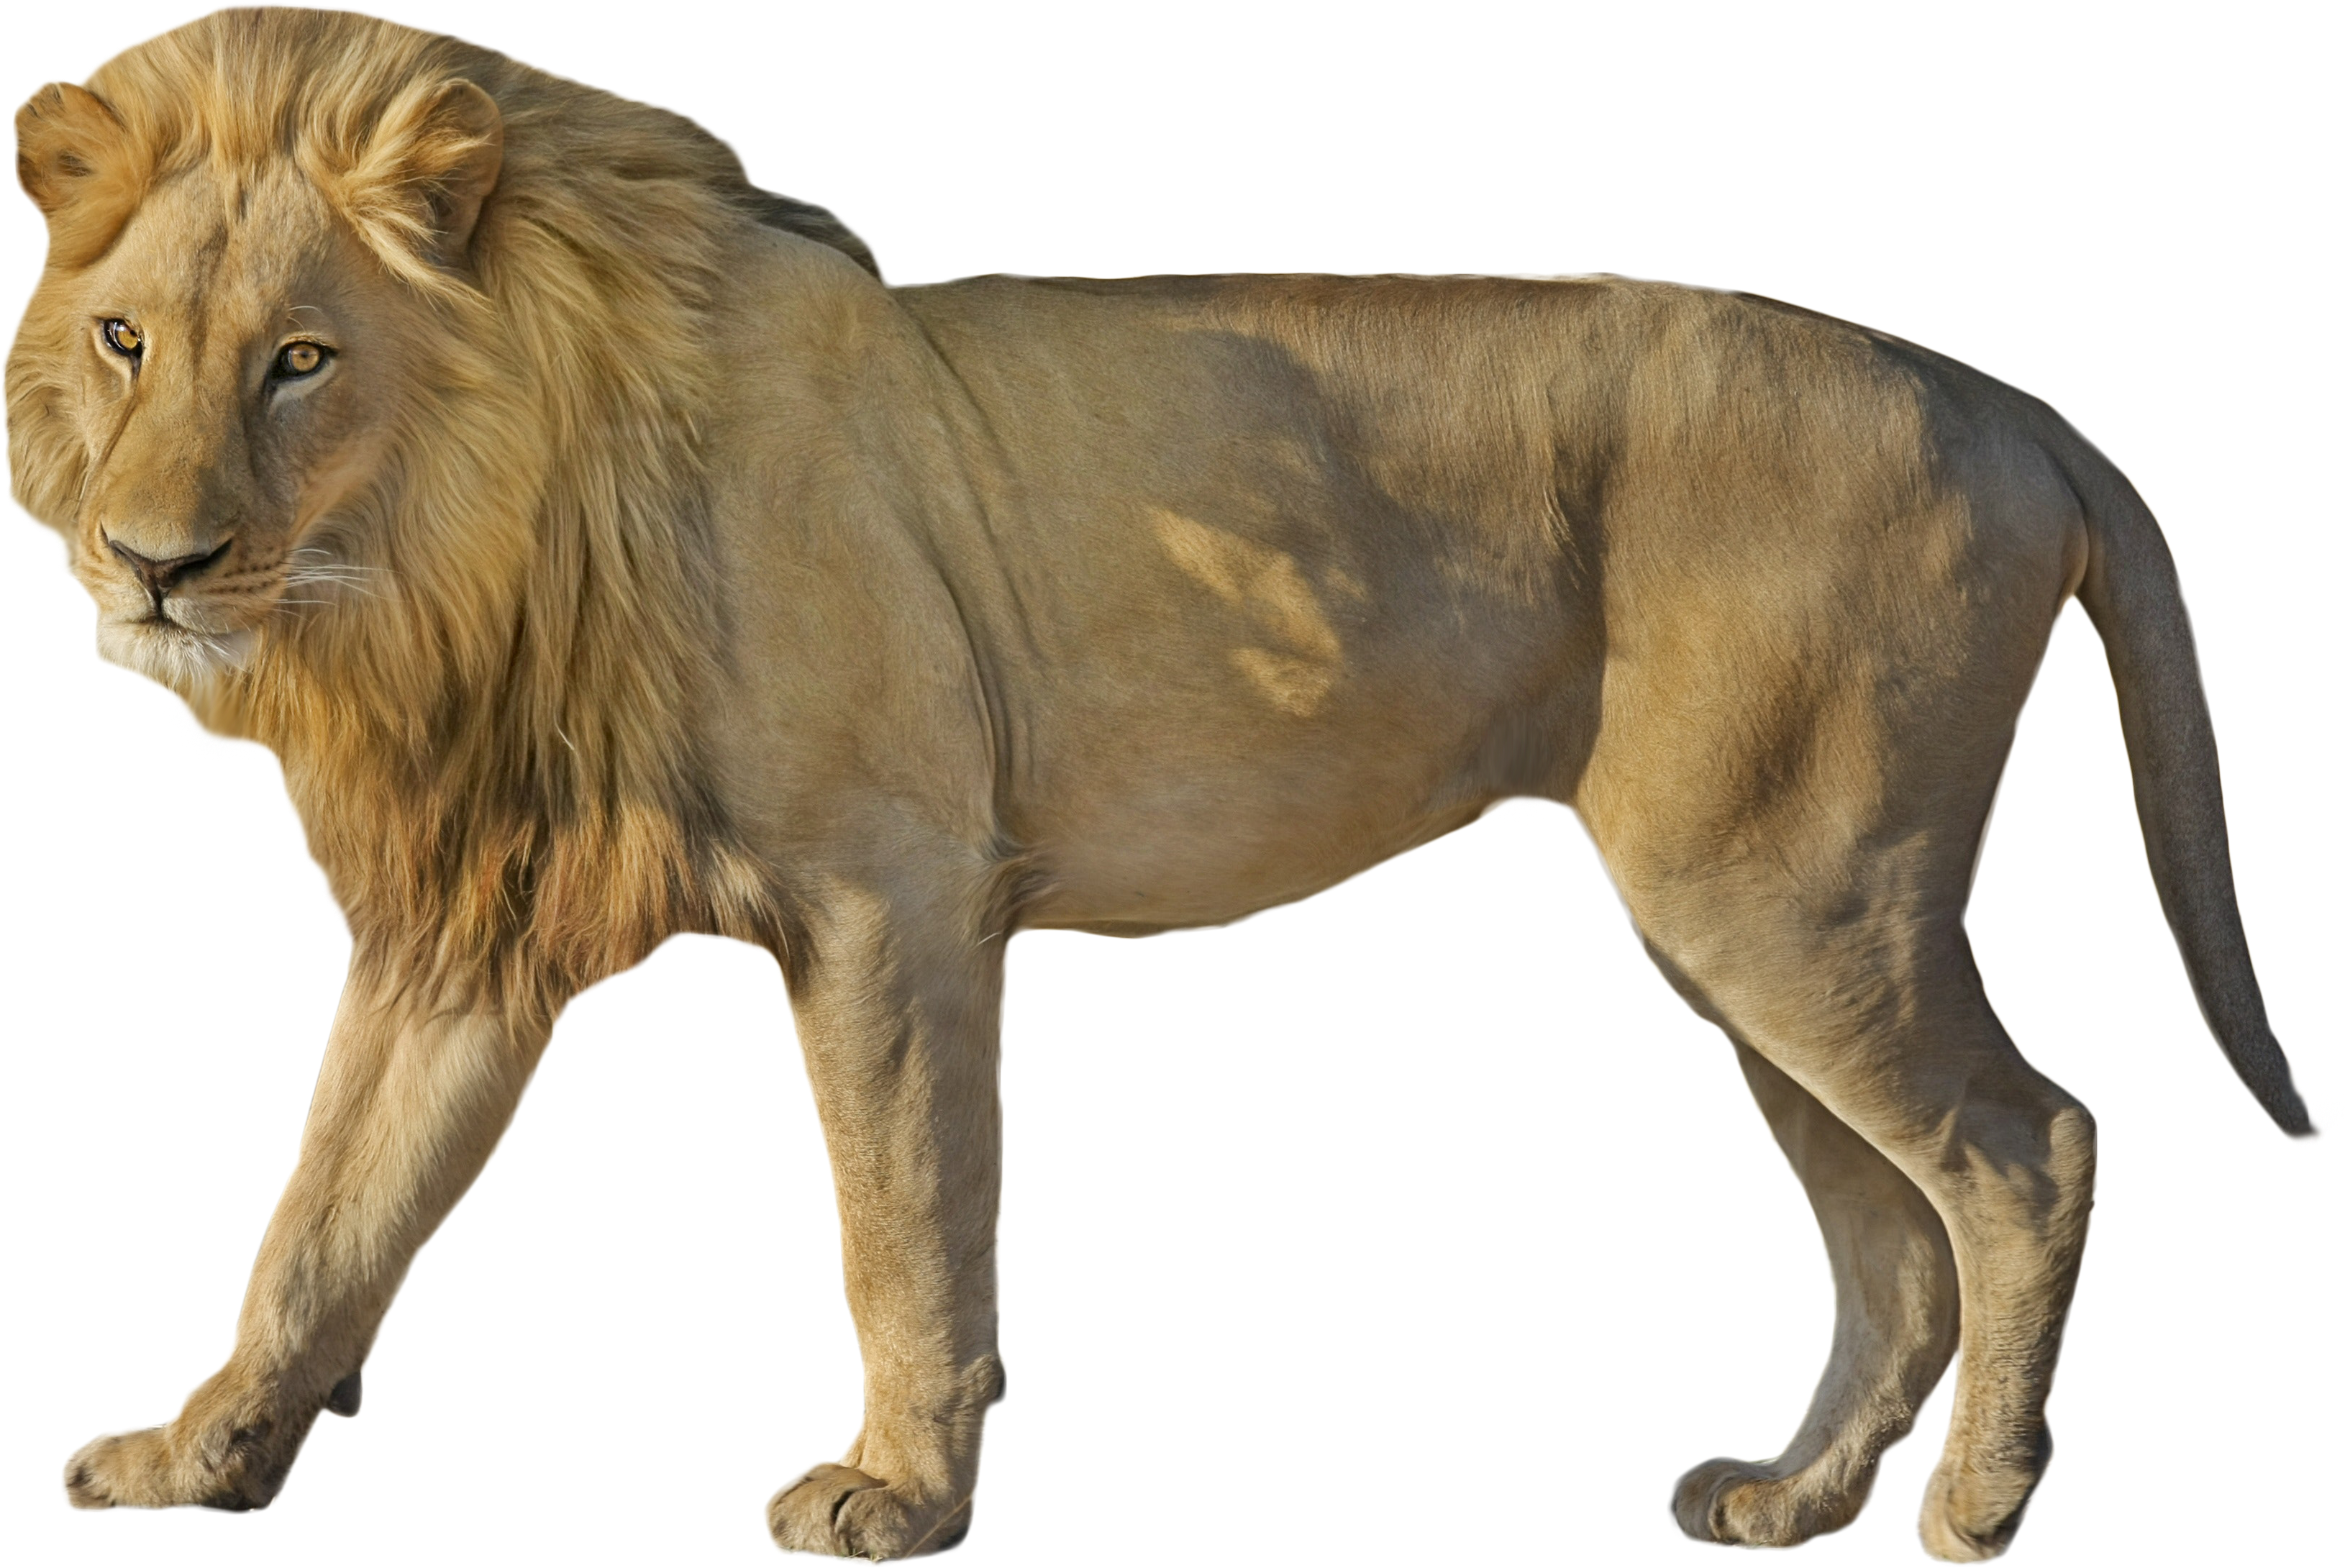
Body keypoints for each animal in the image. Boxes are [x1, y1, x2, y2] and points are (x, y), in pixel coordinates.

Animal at [7, 6, 2322, 1564]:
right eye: (126, 343)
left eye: (303, 358)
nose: (155, 561)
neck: (460, 556)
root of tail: (2001, 393)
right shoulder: (466, 928)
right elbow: (322, 1214)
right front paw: (198, 1453)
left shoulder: (892, 889)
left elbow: (903, 1219)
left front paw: (892, 1489)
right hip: (1744, 924)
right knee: (1888, 1230)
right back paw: (1792, 1496)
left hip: (1790, 890)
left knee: (2024, 1149)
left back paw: (1976, 1508)